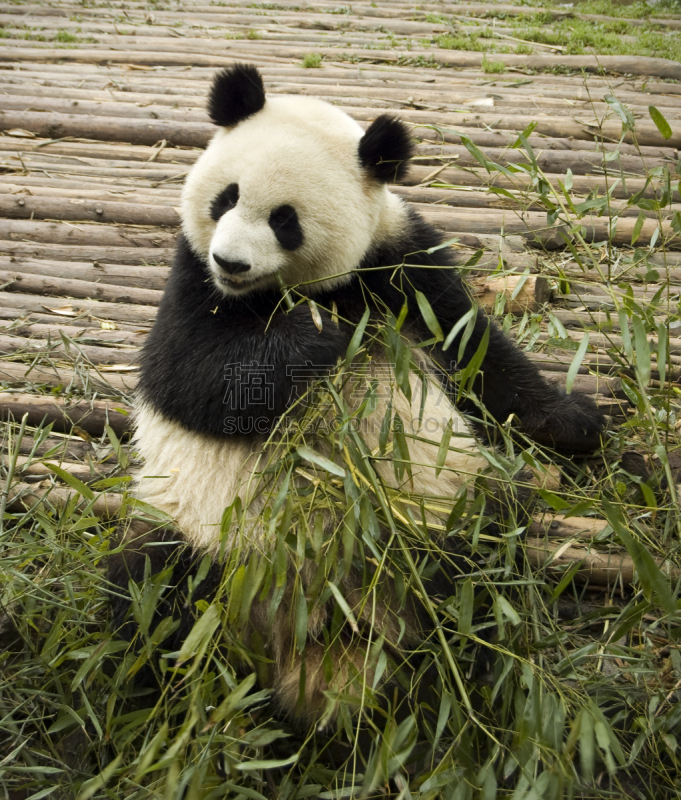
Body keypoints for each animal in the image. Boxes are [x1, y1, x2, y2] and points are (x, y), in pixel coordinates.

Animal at [109, 65, 604, 720]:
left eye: (285, 219)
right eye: (226, 197)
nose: (231, 263)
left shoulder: (400, 262)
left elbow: (479, 357)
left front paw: (579, 421)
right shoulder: (192, 278)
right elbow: (189, 377)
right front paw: (326, 334)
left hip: (452, 519)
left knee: (482, 573)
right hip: (193, 534)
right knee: (149, 596)